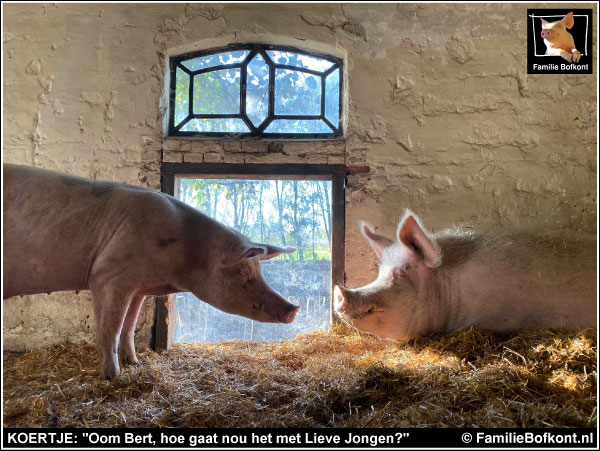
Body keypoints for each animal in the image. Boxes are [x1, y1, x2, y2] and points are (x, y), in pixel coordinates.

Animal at [4, 164, 300, 380]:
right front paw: (113, 377)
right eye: (245, 274)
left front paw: (134, 363)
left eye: (259, 271)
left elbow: (129, 327)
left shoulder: (138, 288)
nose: (293, 309)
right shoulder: (107, 276)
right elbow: (110, 330)